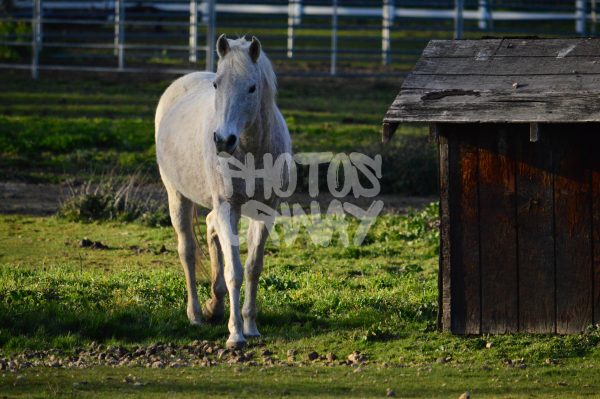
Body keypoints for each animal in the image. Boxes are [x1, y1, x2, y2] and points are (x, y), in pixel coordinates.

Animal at [155, 36, 290, 348]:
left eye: (252, 87)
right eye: (217, 84)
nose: (223, 140)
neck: (251, 150)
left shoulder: (265, 211)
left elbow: (252, 268)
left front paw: (251, 326)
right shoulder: (228, 207)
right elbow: (234, 272)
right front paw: (236, 334)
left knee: (209, 227)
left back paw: (213, 305)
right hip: (177, 197)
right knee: (188, 251)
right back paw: (195, 314)